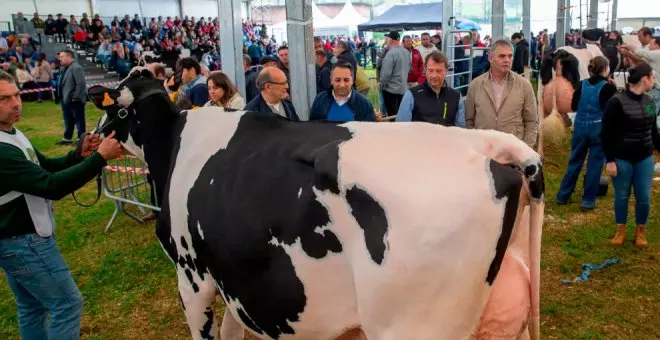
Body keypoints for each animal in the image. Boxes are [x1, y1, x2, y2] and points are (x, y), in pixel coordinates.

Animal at [87, 69, 544, 340]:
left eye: (115, 108)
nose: (91, 140)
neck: (173, 143)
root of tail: (481, 143)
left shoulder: (192, 274)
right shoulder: (234, 281)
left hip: (415, 325)